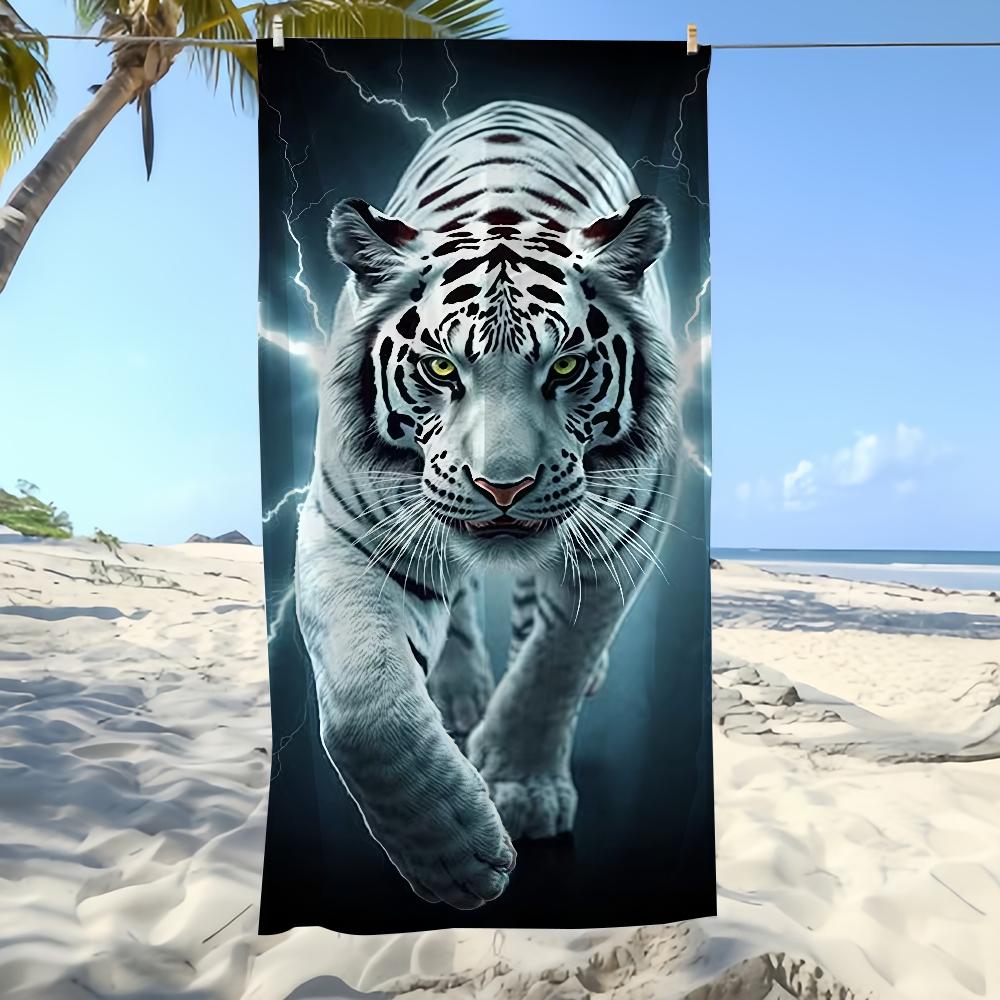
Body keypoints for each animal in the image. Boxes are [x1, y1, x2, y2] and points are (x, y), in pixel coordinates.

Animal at [295, 99, 680, 910]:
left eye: (566, 366)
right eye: (442, 368)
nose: (504, 486)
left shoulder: (623, 533)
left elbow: (557, 659)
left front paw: (521, 789)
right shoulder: (349, 531)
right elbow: (364, 704)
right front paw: (455, 858)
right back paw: (460, 689)